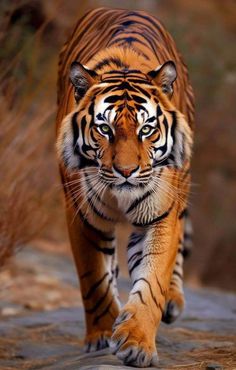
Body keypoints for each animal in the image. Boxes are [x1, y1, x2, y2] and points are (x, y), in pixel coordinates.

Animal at [56, 7, 195, 368]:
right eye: (104, 128)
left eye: (147, 129)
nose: (127, 172)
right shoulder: (82, 215)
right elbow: (94, 278)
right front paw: (103, 334)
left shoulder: (159, 214)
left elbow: (153, 279)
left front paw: (136, 343)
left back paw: (173, 302)